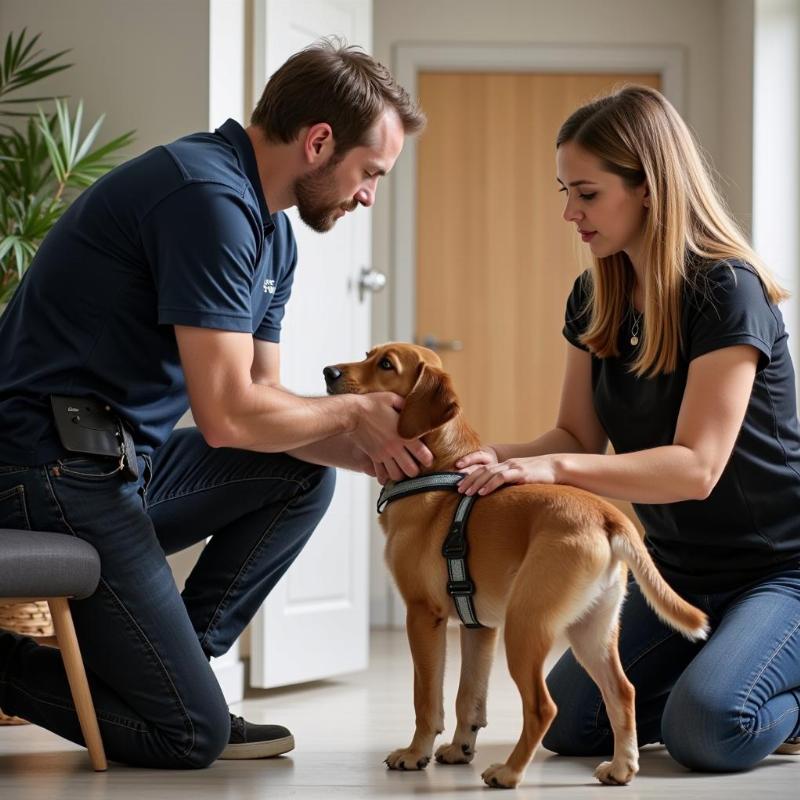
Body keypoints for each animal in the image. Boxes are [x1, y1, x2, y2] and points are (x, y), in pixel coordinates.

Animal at [322, 342, 708, 788]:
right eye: (368, 354)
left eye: (386, 365)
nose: (328, 372)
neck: (439, 471)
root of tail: (606, 516)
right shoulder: (478, 628)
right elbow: (468, 697)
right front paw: (460, 748)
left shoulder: (422, 616)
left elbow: (427, 699)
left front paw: (415, 753)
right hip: (591, 631)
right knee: (622, 693)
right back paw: (621, 767)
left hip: (526, 627)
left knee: (543, 707)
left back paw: (509, 772)